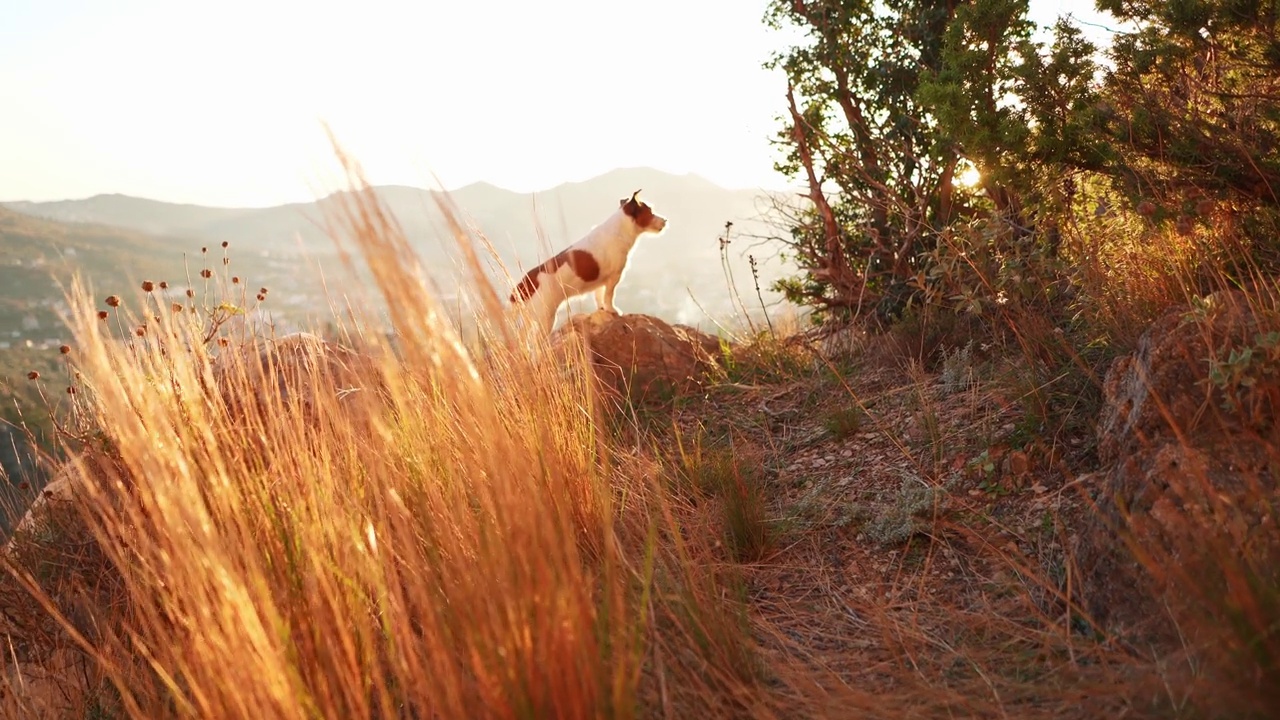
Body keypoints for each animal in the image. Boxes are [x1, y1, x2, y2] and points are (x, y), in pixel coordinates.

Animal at [506, 188, 670, 333]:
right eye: (650, 211)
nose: (666, 220)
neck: (619, 229)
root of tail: (523, 284)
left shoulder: (601, 282)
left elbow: (599, 296)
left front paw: (603, 309)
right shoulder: (614, 277)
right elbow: (609, 295)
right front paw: (612, 310)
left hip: (529, 318)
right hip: (546, 317)